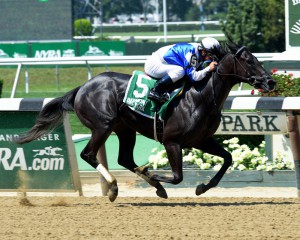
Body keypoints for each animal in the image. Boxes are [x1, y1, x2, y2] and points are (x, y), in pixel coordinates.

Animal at [15, 40, 276, 201]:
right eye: (249, 61)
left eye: (257, 58)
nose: (270, 81)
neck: (201, 97)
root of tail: (83, 87)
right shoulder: (172, 141)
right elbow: (177, 176)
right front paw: (153, 173)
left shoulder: (202, 140)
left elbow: (228, 158)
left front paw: (202, 187)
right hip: (103, 125)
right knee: (88, 154)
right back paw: (115, 187)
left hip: (125, 129)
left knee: (124, 158)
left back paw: (153, 186)